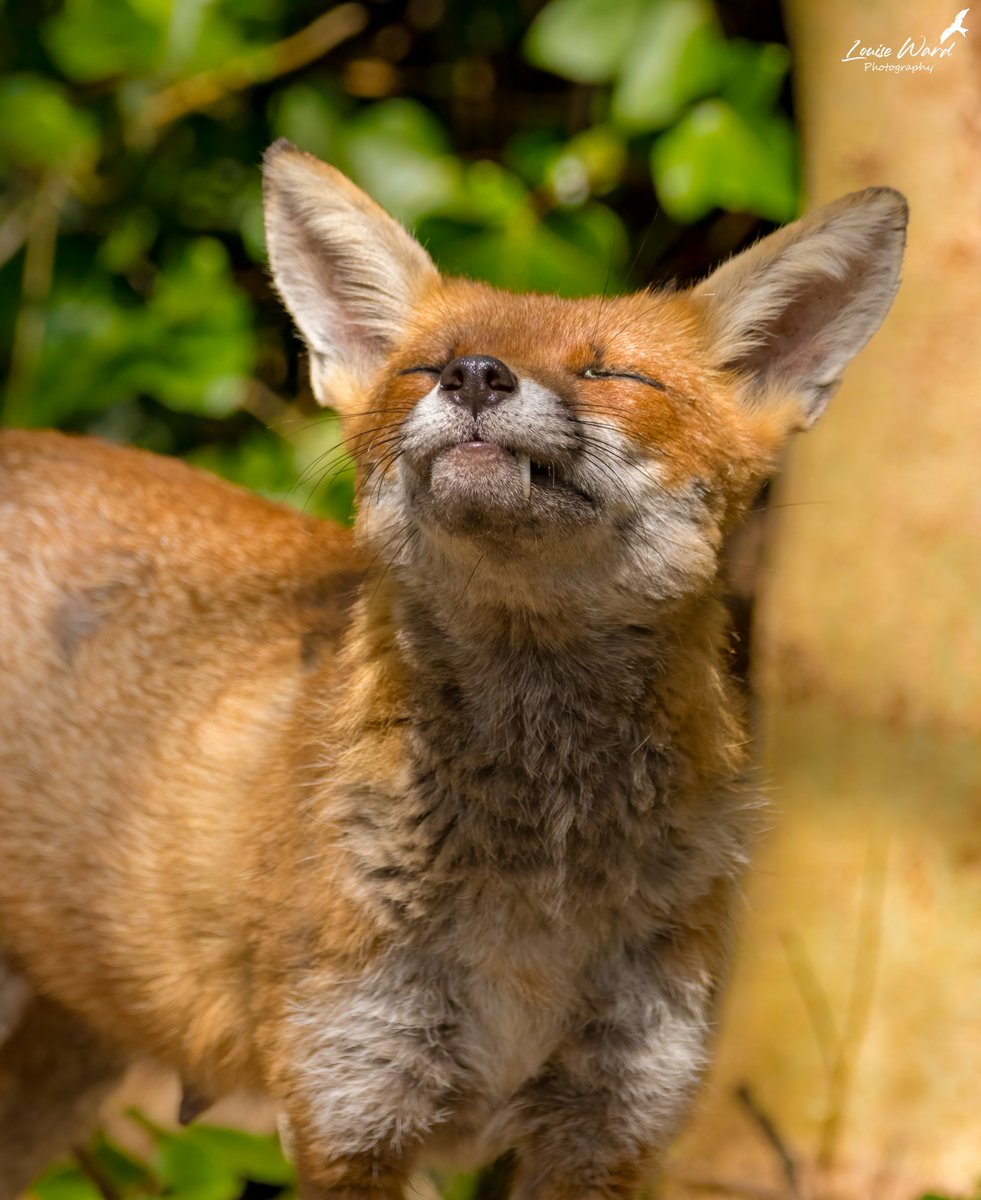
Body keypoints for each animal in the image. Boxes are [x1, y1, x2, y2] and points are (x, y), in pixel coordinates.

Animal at [0, 139, 907, 1198]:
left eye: (612, 372)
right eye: (424, 367)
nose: (475, 376)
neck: (533, 893)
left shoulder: (608, 1123)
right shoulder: (351, 1109)